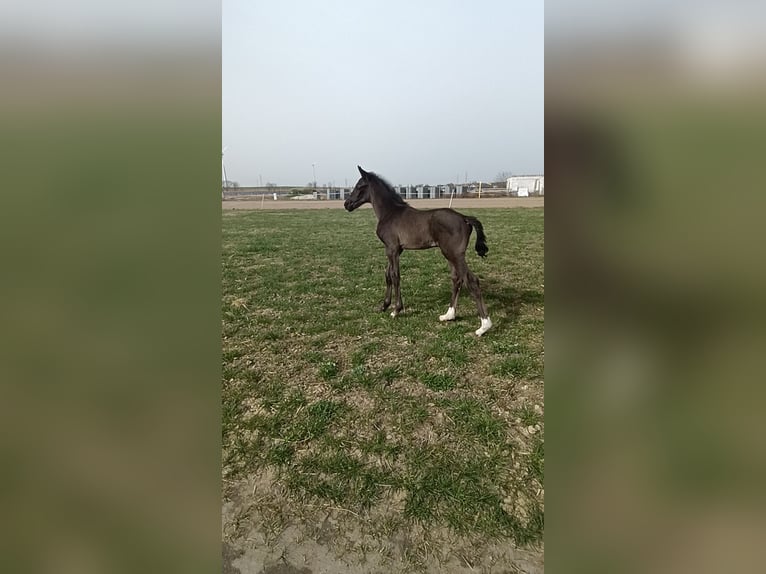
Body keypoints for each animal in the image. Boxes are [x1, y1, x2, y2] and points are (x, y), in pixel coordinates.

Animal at [344, 166, 496, 338]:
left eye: (359, 186)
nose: (346, 204)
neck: (390, 212)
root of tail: (464, 218)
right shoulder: (395, 250)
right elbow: (387, 275)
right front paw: (384, 306)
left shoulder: (392, 249)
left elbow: (395, 276)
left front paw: (396, 310)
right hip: (449, 254)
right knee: (457, 279)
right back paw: (449, 315)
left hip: (455, 254)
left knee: (471, 281)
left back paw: (484, 326)